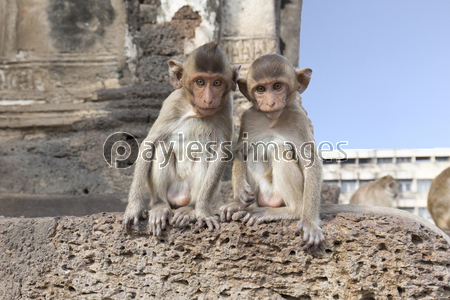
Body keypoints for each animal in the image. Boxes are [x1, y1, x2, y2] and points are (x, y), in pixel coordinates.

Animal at [123, 41, 241, 236]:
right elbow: (150, 144)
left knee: (203, 157)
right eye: (200, 82)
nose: (208, 99)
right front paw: (133, 208)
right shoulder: (172, 104)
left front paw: (202, 211)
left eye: (217, 83)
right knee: (162, 148)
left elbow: (220, 154)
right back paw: (160, 207)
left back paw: (189, 210)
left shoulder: (226, 108)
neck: (195, 111)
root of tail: (178, 199)